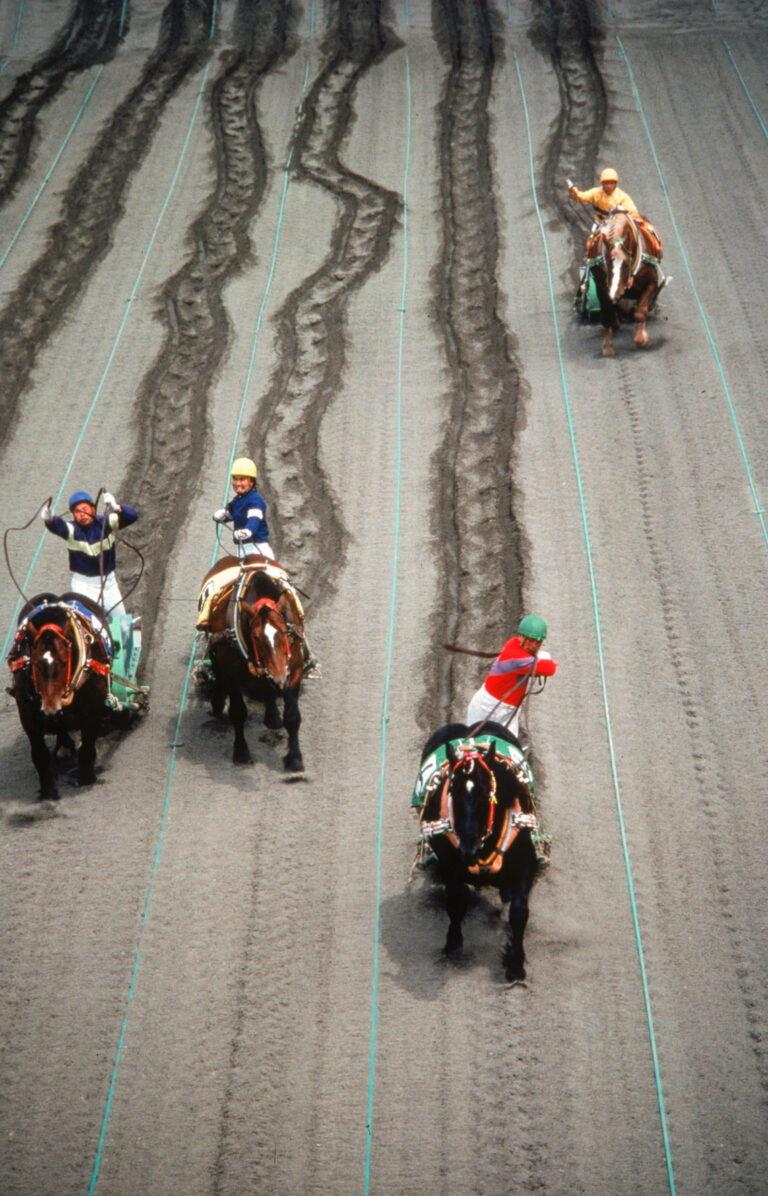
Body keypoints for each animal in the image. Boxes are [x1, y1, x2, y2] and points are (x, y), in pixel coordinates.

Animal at [7, 593, 113, 798]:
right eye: (35, 663)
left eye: (64, 662)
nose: (50, 709)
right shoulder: (27, 714)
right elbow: (39, 754)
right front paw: (48, 789)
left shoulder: (93, 710)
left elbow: (87, 747)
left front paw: (86, 777)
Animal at [193, 554, 305, 770]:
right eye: (257, 638)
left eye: (284, 632)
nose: (280, 678)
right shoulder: (232, 673)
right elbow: (238, 712)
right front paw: (241, 751)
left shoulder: (293, 668)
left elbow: (292, 716)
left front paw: (295, 758)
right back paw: (218, 700)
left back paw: (272, 713)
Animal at [411, 722, 545, 985]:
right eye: (452, 791)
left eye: (486, 792)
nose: (469, 849)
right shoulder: (450, 866)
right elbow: (455, 904)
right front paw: (453, 945)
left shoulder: (526, 860)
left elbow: (519, 911)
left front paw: (515, 964)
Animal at [583, 208, 660, 356]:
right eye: (607, 263)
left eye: (625, 265)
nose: (616, 294)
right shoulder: (602, 289)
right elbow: (606, 315)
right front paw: (607, 346)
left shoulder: (652, 283)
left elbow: (640, 311)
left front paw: (640, 339)